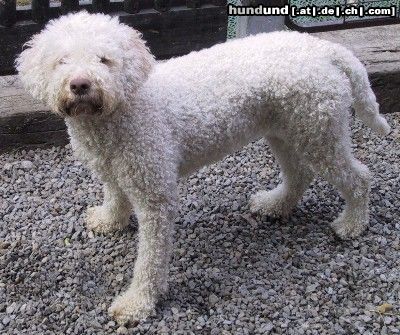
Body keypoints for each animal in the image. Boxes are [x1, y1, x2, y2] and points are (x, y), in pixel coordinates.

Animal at [16, 11, 390, 326]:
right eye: (61, 61)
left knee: (358, 178)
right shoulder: (115, 168)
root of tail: (326, 48)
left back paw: (352, 224)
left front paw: (138, 303)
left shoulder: (155, 194)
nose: (80, 83)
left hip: (318, 132)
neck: (120, 110)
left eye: (104, 60)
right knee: (300, 174)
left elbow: (150, 260)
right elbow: (115, 196)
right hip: (286, 129)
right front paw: (109, 220)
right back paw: (275, 205)